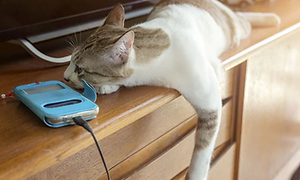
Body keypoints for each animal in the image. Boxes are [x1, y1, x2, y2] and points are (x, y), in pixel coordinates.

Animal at [62, 0, 278, 179]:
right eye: (70, 60)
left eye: (80, 69)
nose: (64, 76)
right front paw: (106, 86)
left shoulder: (210, 103)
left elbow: (202, 152)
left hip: (235, 30)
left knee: (243, 19)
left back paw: (272, 18)